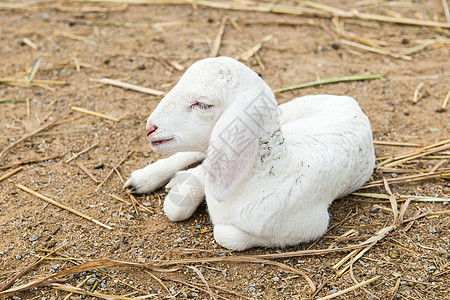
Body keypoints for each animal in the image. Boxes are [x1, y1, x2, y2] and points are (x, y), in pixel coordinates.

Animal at [125, 56, 374, 251]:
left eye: (203, 104)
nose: (150, 128)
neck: (270, 172)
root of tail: (350, 102)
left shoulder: (311, 225)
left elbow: (224, 234)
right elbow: (176, 207)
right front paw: (180, 184)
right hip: (289, 110)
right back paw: (144, 178)